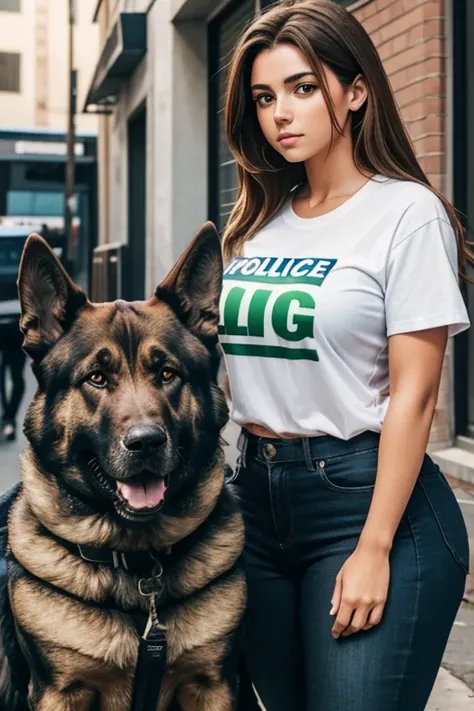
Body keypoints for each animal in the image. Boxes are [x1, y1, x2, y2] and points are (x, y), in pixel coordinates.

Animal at [0, 225, 244, 711]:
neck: (136, 565)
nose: (146, 442)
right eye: (96, 378)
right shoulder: (59, 693)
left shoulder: (211, 686)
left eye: (167, 374)